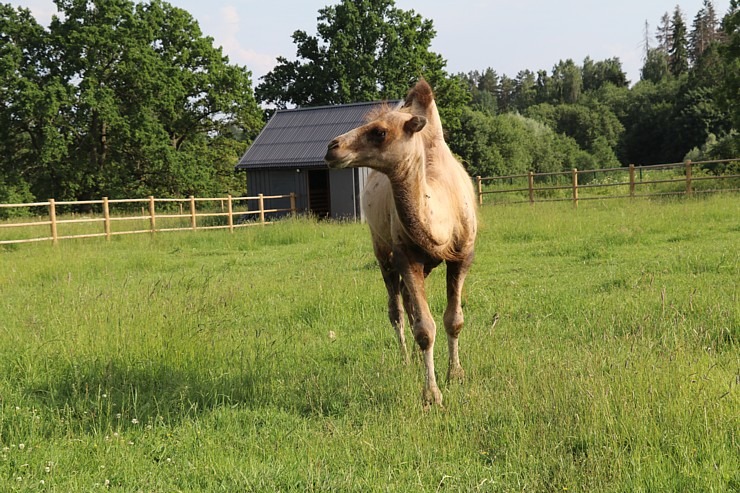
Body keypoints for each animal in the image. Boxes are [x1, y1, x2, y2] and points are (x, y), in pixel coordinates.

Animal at [322, 79, 474, 406]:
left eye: (379, 132)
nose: (332, 147)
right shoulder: (406, 256)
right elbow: (425, 328)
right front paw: (431, 395)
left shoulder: (462, 255)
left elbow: (453, 319)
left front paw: (455, 374)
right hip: (381, 250)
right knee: (397, 310)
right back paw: (406, 360)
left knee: (406, 301)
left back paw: (416, 360)